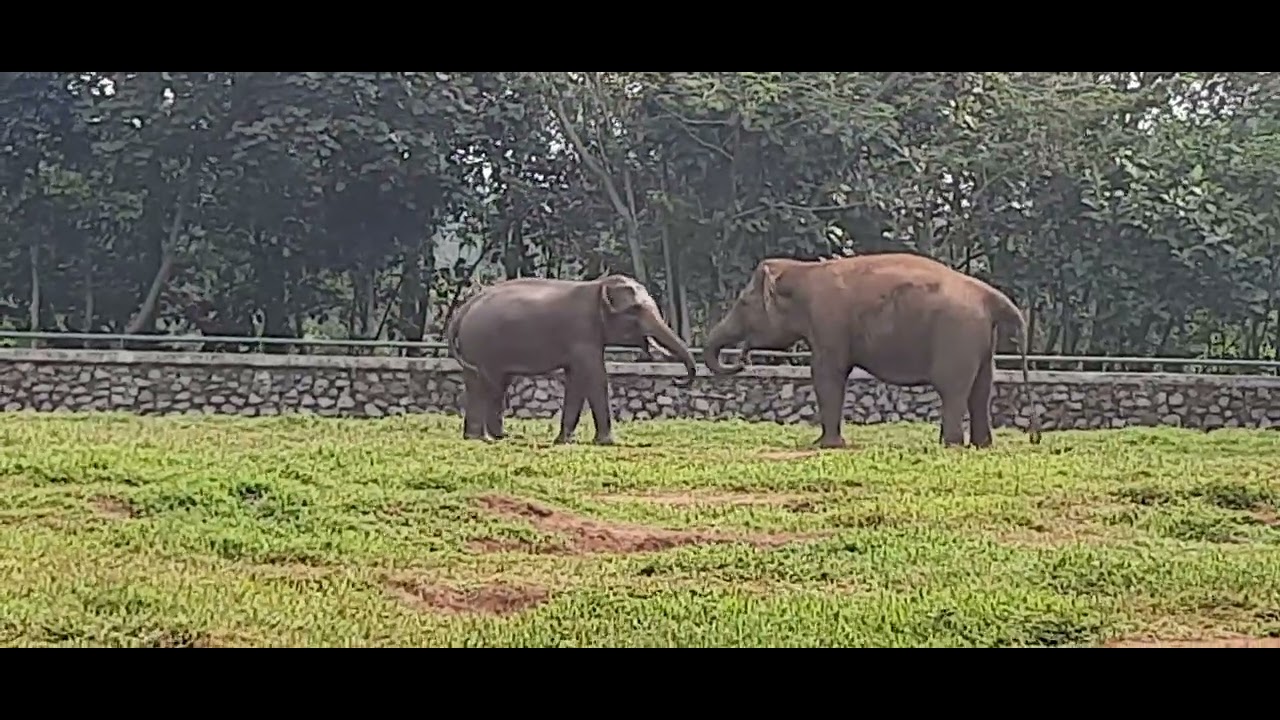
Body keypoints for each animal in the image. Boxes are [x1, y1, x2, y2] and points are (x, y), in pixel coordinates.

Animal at [445, 274, 697, 445]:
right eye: (635, 310)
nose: (680, 380)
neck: (599, 285)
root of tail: (464, 308)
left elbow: (577, 380)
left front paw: (565, 440)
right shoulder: (582, 332)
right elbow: (595, 377)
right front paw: (607, 442)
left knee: (495, 384)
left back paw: (497, 437)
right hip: (479, 344)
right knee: (485, 384)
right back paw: (482, 438)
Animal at [703, 252, 1042, 449]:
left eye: (743, 303)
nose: (744, 356)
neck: (803, 270)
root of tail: (990, 295)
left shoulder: (828, 321)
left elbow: (826, 373)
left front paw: (824, 445)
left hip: (957, 334)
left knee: (954, 389)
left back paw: (950, 445)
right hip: (980, 339)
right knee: (981, 389)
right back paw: (981, 446)